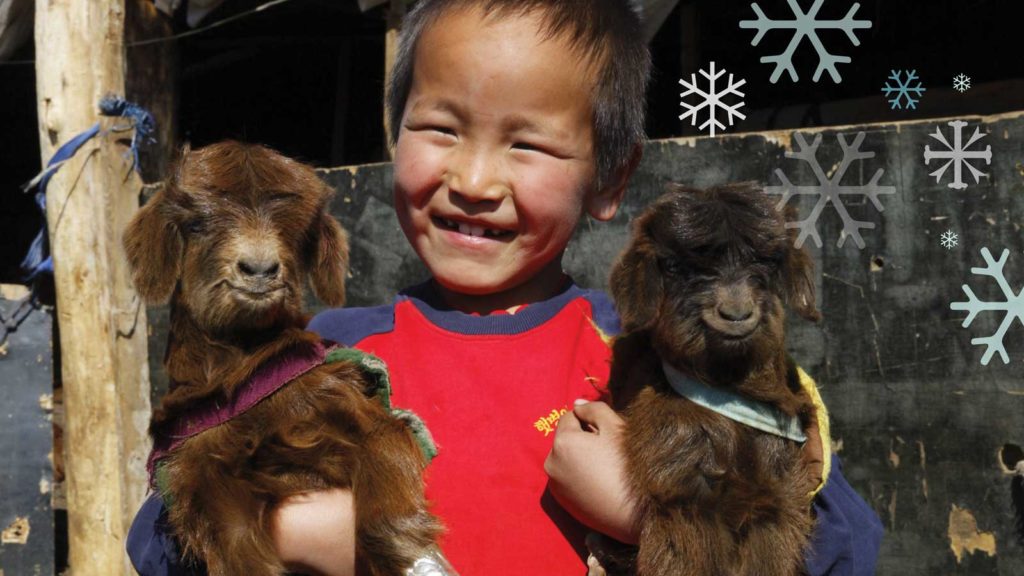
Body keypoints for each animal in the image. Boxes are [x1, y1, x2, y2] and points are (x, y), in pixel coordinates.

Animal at [122, 140, 440, 573]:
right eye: (196, 224)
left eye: (300, 230)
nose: (259, 268)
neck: (242, 372)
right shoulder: (204, 478)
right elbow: (240, 549)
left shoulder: (347, 407)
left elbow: (387, 454)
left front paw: (410, 554)